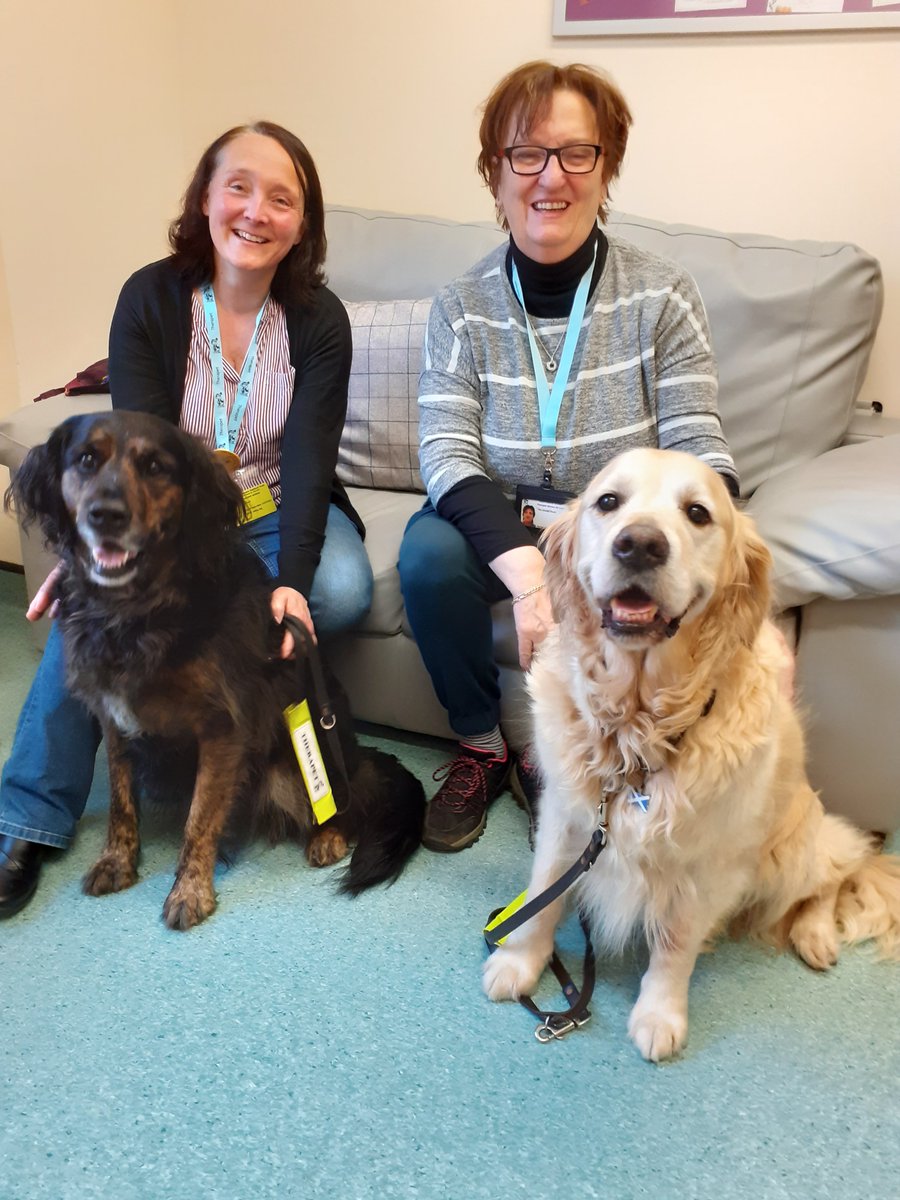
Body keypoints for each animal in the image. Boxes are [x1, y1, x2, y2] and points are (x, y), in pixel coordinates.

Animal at [7, 412, 427, 926]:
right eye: (86, 459)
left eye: (155, 466)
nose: (106, 516)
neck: (138, 609)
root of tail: (355, 754)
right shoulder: (114, 717)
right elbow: (121, 804)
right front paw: (117, 861)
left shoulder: (223, 729)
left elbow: (200, 819)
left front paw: (190, 891)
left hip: (298, 767)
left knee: (348, 804)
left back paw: (328, 836)